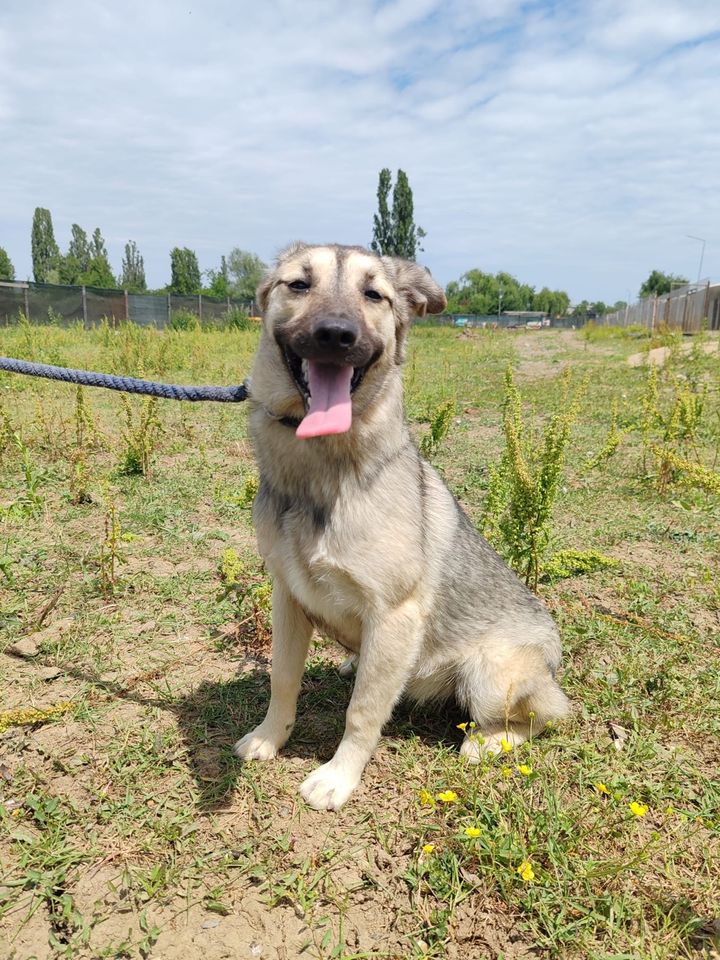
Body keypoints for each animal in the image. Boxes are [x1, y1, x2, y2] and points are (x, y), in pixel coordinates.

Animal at [235, 242, 568, 808]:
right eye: (298, 284)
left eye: (374, 295)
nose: (335, 334)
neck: (323, 475)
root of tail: (552, 659)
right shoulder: (288, 598)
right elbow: (282, 679)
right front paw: (268, 737)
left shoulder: (393, 615)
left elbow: (363, 710)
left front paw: (339, 777)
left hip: (489, 674)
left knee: (548, 716)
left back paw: (488, 742)